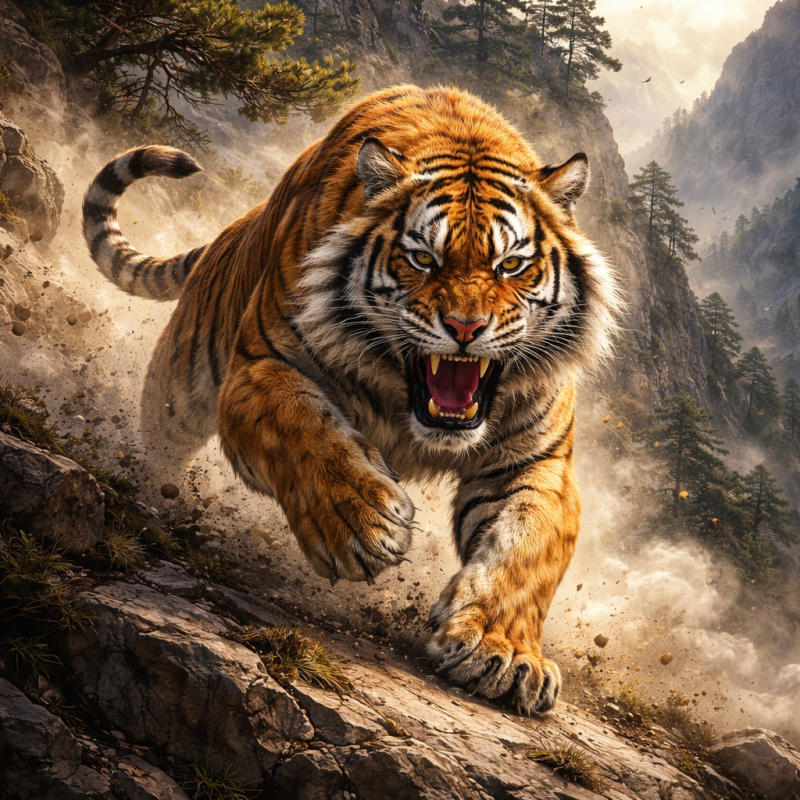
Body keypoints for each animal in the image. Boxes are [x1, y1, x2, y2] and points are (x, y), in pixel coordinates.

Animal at [82, 85, 622, 715]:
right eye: (422, 259)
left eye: (510, 264)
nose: (466, 328)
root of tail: (237, 226)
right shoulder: (257, 371)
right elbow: (304, 431)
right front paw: (360, 526)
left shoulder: (537, 461)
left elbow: (529, 551)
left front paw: (503, 653)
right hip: (179, 384)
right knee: (160, 444)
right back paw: (145, 492)